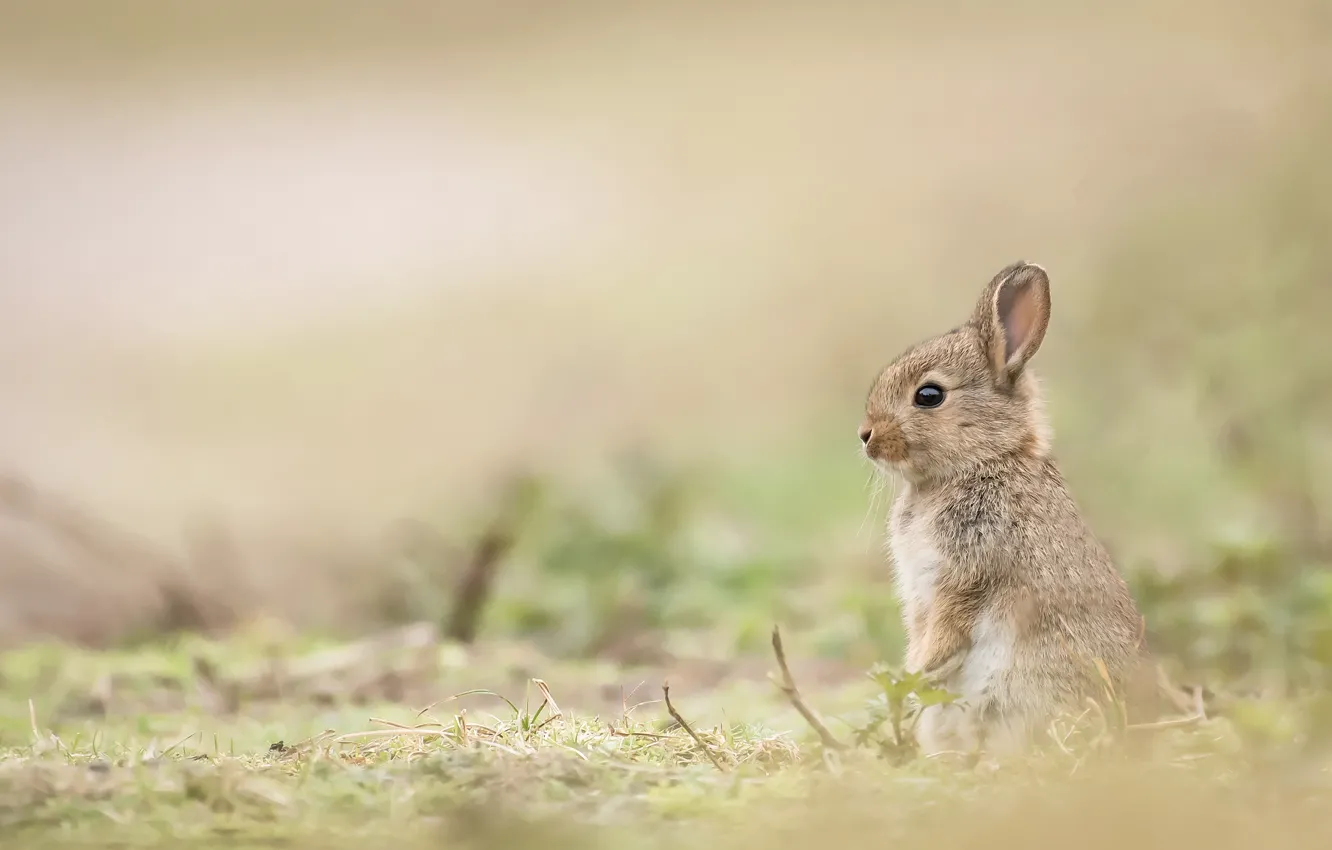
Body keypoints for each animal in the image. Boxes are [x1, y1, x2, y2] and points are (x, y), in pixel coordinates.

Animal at [863, 261, 1145, 756]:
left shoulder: (970, 571)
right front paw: (909, 675)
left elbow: (946, 628)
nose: (865, 435)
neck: (981, 461)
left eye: (929, 395)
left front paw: (915, 674)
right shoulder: (922, 593)